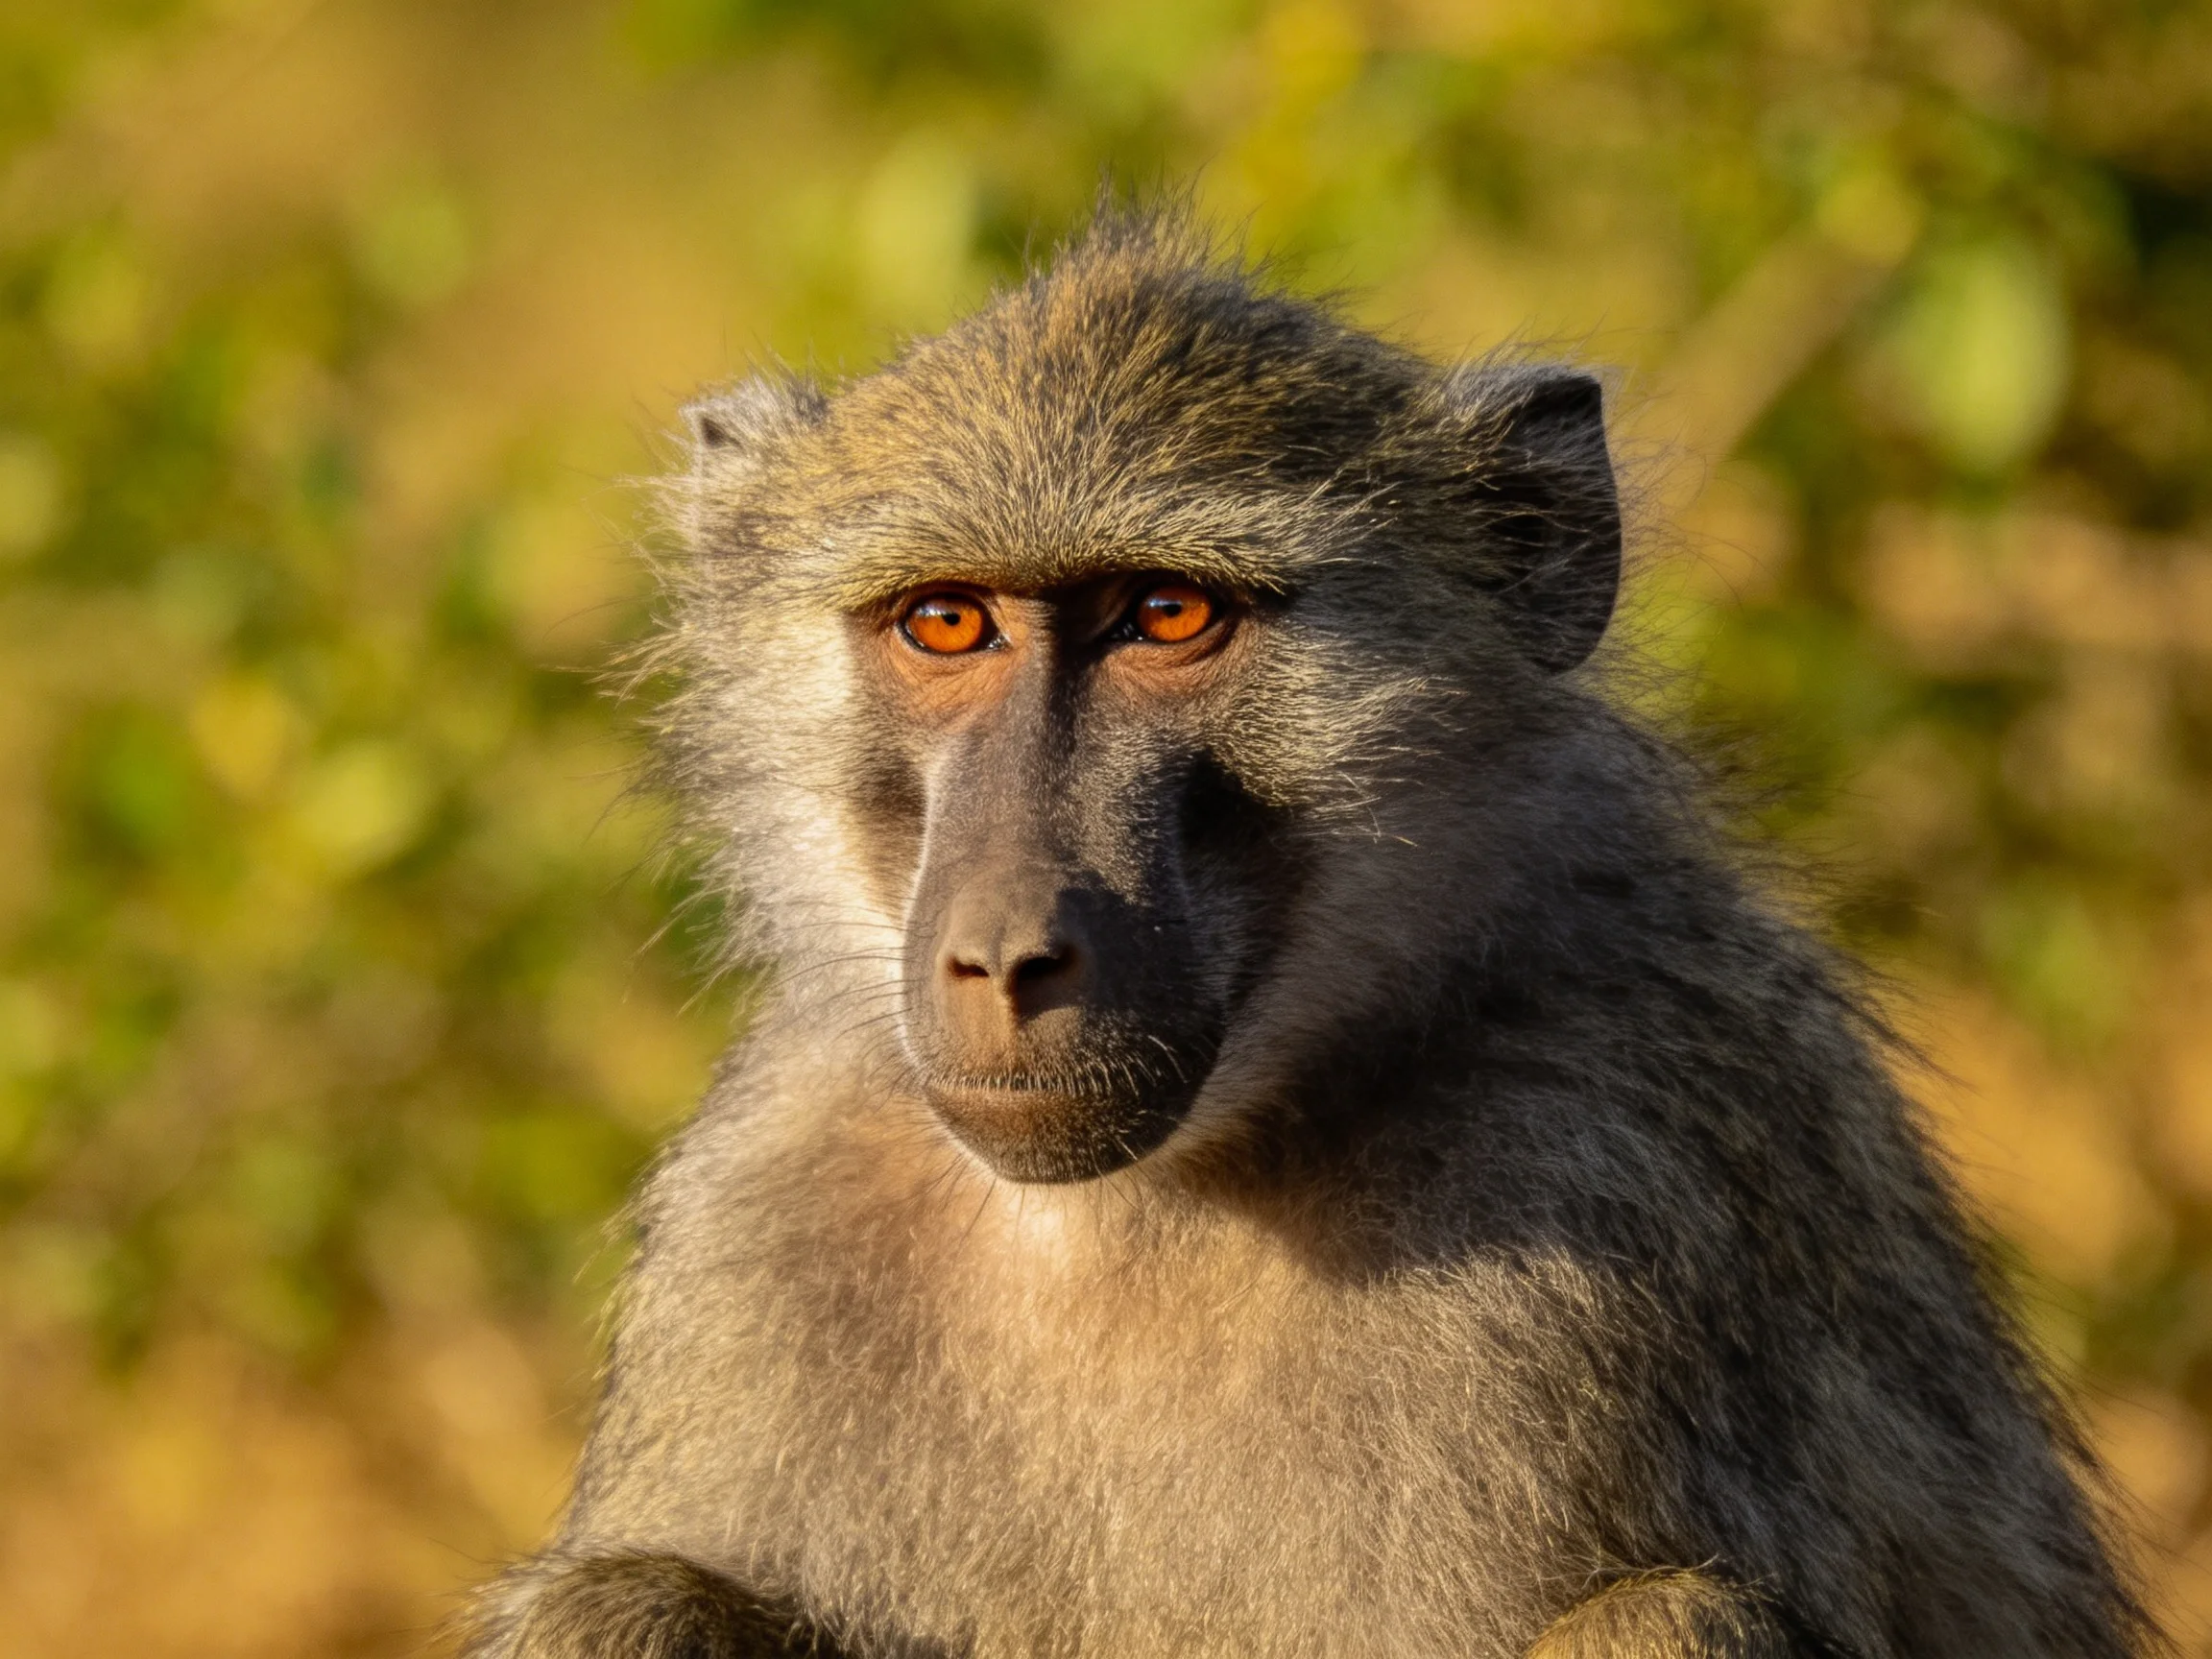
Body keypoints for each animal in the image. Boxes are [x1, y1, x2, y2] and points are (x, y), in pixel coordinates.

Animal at [457, 213, 2154, 1659]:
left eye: (1166, 618)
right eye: (945, 624)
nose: (1006, 958)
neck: (1147, 1206)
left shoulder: (1608, 1175)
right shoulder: (759, 1211)